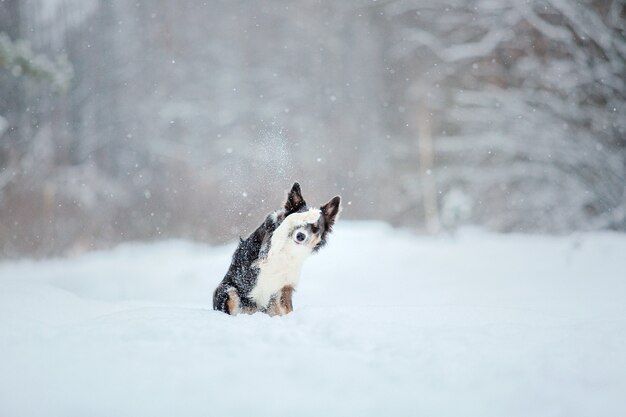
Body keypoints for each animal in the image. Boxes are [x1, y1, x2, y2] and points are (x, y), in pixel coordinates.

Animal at [214, 182, 342, 316]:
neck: (288, 250)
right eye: (298, 222)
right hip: (229, 290)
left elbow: (287, 309)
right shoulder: (265, 263)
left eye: (315, 228)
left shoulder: (285, 286)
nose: (300, 236)